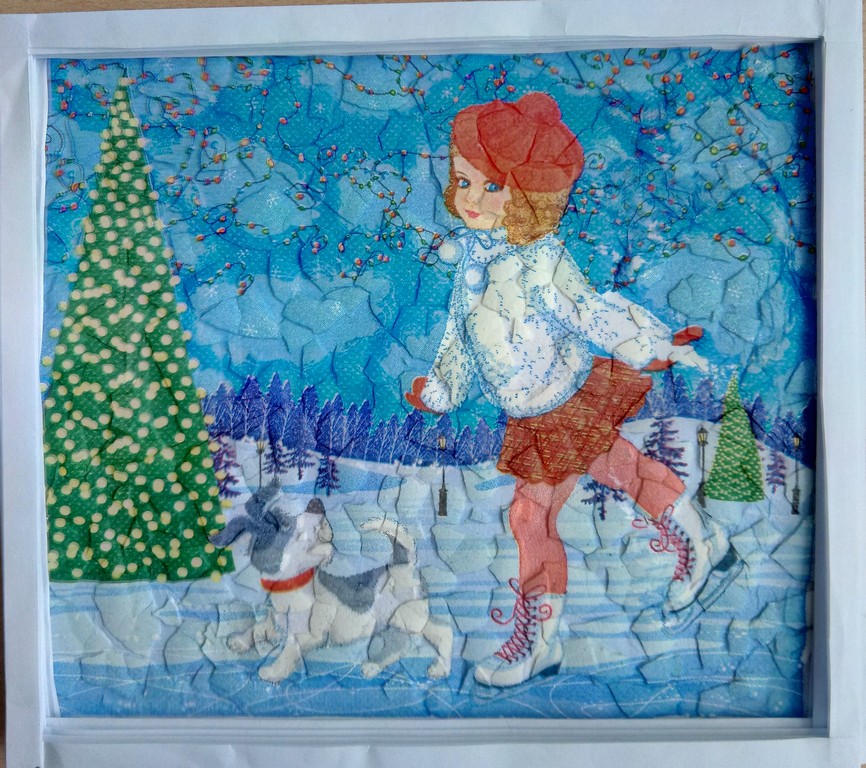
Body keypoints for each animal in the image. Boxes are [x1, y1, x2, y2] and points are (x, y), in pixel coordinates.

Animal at [211, 480, 453, 683]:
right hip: (396, 621)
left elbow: (287, 652)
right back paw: (380, 666)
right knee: (405, 643)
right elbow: (259, 625)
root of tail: (402, 564)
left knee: (441, 632)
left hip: (408, 617)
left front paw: (272, 672)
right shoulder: (275, 621)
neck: (292, 586)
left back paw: (435, 668)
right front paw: (240, 640)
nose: (316, 503)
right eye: (285, 524)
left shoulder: (305, 635)